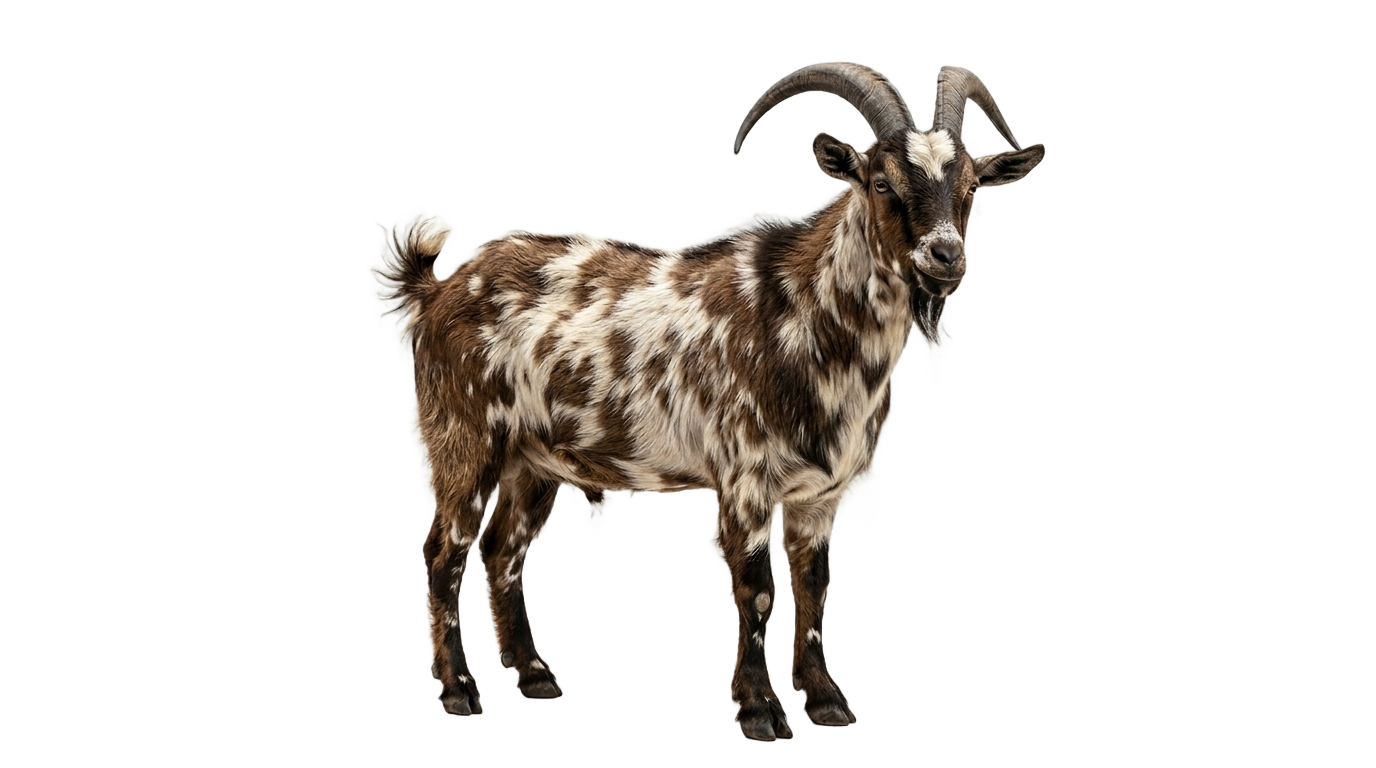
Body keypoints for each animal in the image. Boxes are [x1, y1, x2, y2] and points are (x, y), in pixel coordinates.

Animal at [378, 56, 1047, 740]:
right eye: (880, 182)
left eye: (971, 185)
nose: (946, 254)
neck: (804, 317)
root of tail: (438, 290)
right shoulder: (745, 481)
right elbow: (756, 589)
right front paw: (758, 712)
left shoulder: (819, 498)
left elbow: (814, 587)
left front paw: (825, 702)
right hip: (466, 442)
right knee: (444, 552)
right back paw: (458, 692)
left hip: (534, 462)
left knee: (502, 550)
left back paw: (535, 677)